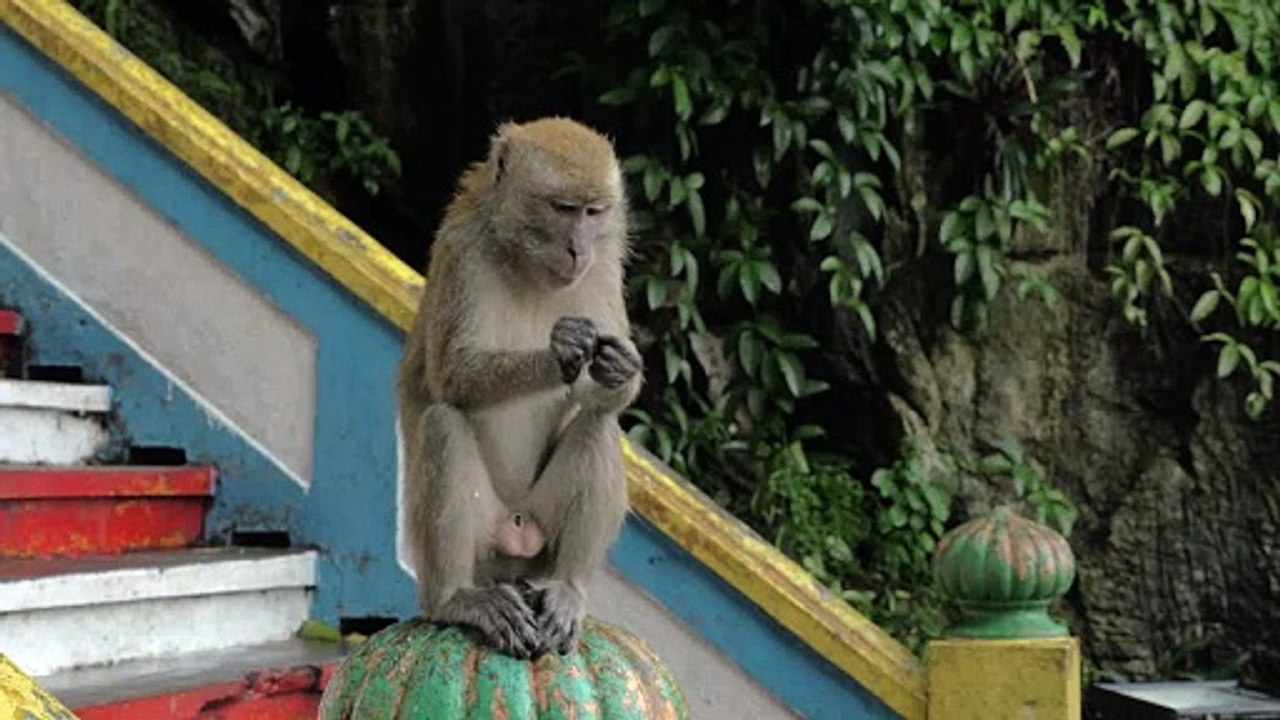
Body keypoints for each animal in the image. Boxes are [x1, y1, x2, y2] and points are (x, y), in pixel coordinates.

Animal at [398, 117, 642, 660]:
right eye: (564, 208)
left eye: (595, 212)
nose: (579, 249)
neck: (527, 263)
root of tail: (514, 535)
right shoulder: (462, 254)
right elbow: (452, 375)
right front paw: (560, 353)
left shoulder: (604, 268)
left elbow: (603, 400)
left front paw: (621, 368)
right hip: (480, 545)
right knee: (444, 423)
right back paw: (456, 599)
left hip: (539, 540)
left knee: (598, 427)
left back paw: (567, 589)